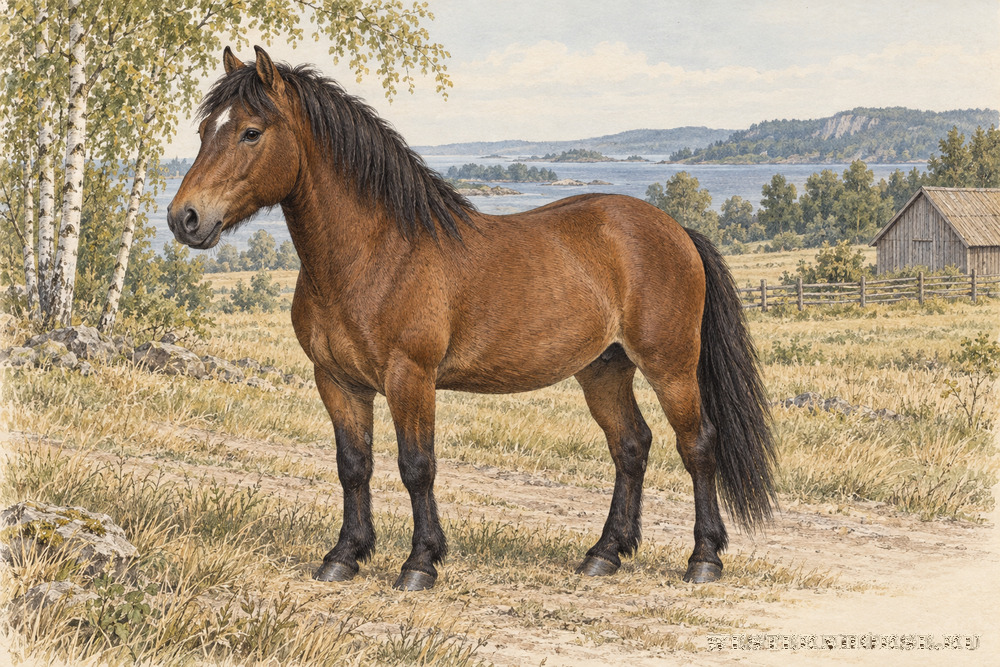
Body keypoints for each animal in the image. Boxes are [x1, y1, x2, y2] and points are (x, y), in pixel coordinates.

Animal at [168, 46, 777, 591]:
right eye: (203, 132)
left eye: (251, 132)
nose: (184, 218)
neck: (376, 253)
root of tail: (676, 231)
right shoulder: (337, 381)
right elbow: (353, 465)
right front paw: (344, 556)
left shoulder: (410, 378)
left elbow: (416, 466)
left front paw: (420, 564)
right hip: (604, 369)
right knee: (631, 446)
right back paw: (604, 555)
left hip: (670, 366)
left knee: (697, 445)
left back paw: (703, 560)